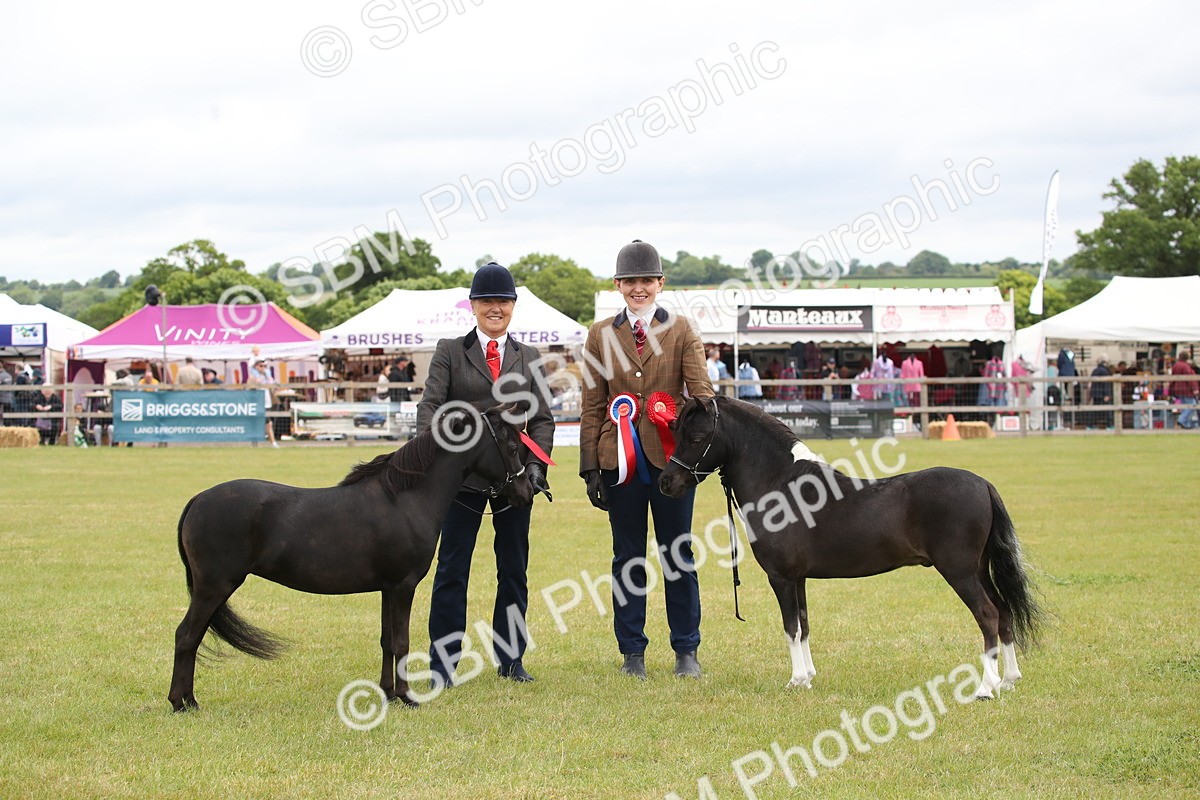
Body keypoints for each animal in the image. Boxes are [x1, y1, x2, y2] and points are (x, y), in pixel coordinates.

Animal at [167, 404, 534, 712]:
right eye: (512, 447)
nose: (526, 492)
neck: (404, 498)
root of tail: (198, 499)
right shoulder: (403, 586)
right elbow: (401, 642)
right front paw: (406, 697)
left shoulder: (388, 588)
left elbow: (387, 641)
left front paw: (389, 694)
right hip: (214, 587)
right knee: (186, 636)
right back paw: (182, 703)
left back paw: (188, 700)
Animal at [658, 396, 1043, 699]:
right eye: (675, 431)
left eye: (697, 436)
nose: (666, 482)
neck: (781, 484)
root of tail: (983, 484)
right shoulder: (798, 578)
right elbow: (804, 624)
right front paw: (808, 678)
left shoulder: (781, 577)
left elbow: (790, 627)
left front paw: (795, 681)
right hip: (979, 569)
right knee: (1004, 613)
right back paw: (1008, 681)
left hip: (960, 572)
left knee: (988, 615)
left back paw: (985, 689)